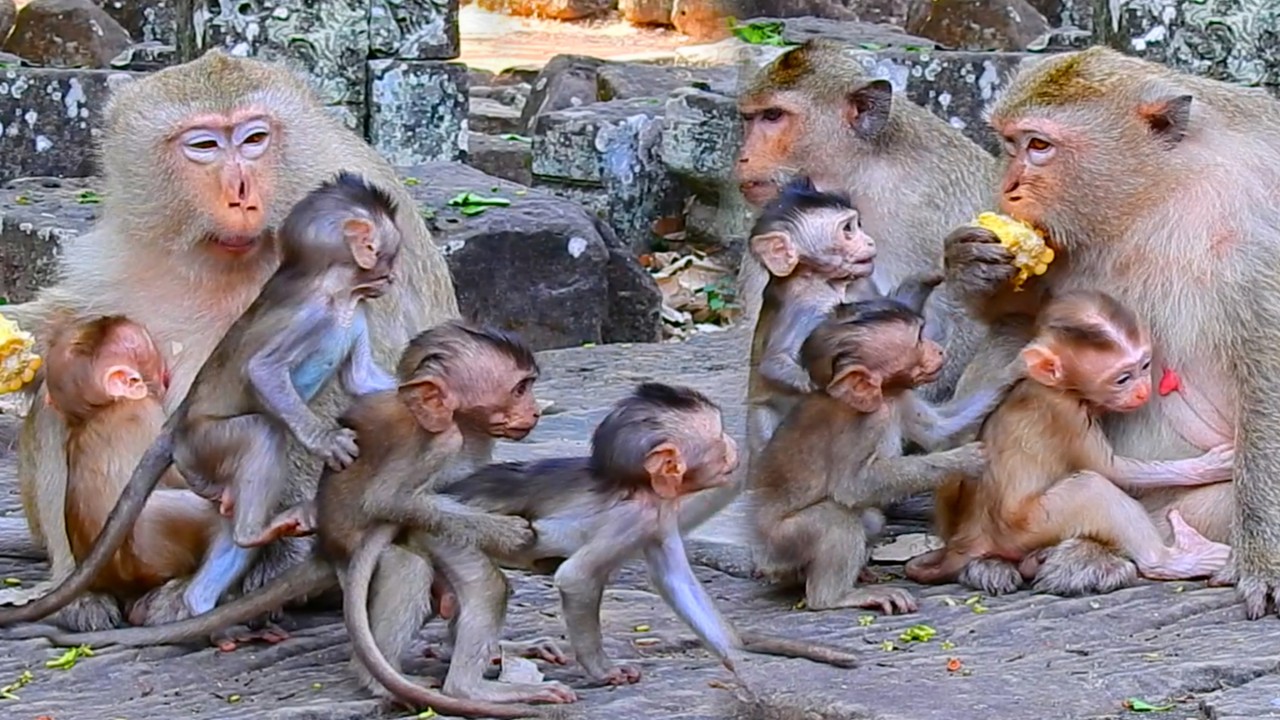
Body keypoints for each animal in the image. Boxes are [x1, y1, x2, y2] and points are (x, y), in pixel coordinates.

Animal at [444, 383, 862, 689]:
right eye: (718, 437)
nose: (732, 447)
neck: (641, 488)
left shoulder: (660, 518)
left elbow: (676, 581)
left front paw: (736, 651)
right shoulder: (634, 518)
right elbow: (576, 578)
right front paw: (603, 670)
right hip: (455, 530)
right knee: (486, 584)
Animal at [745, 175, 879, 467]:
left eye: (858, 225)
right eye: (848, 229)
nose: (870, 242)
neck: (821, 279)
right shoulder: (806, 306)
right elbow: (774, 363)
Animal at [750, 286, 1021, 614]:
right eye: (918, 340)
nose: (938, 350)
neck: (884, 395)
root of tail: (763, 558)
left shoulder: (901, 397)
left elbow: (939, 427)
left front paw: (1016, 369)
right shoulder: (865, 424)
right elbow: (852, 485)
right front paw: (965, 459)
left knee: (869, 518)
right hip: (781, 542)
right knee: (835, 519)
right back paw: (834, 598)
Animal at [905, 291, 1235, 594]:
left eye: (1145, 365)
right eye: (1122, 378)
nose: (1143, 390)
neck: (1064, 388)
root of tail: (970, 538)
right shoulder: (1065, 414)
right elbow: (1112, 470)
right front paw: (1208, 467)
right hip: (1027, 526)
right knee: (1092, 488)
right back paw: (1171, 560)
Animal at [940, 46, 1280, 613]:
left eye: (1039, 146)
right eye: (1009, 144)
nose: (1006, 190)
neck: (1161, 191)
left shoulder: (1260, 219)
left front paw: (1266, 565)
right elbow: (1018, 315)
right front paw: (969, 261)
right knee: (1010, 345)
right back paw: (1007, 556)